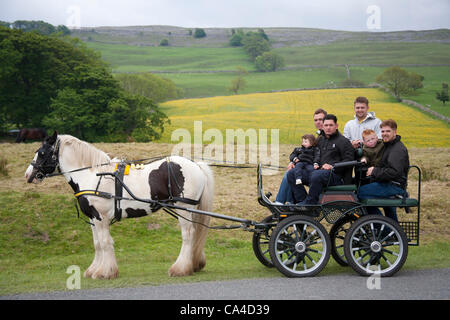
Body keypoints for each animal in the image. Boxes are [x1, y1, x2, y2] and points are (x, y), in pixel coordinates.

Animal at [24, 131, 214, 278]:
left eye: (41, 153)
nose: (28, 175)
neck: (92, 175)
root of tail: (196, 164)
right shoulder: (93, 219)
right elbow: (97, 243)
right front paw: (93, 270)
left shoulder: (101, 218)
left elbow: (105, 242)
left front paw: (105, 272)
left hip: (184, 209)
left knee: (188, 235)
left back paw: (180, 269)